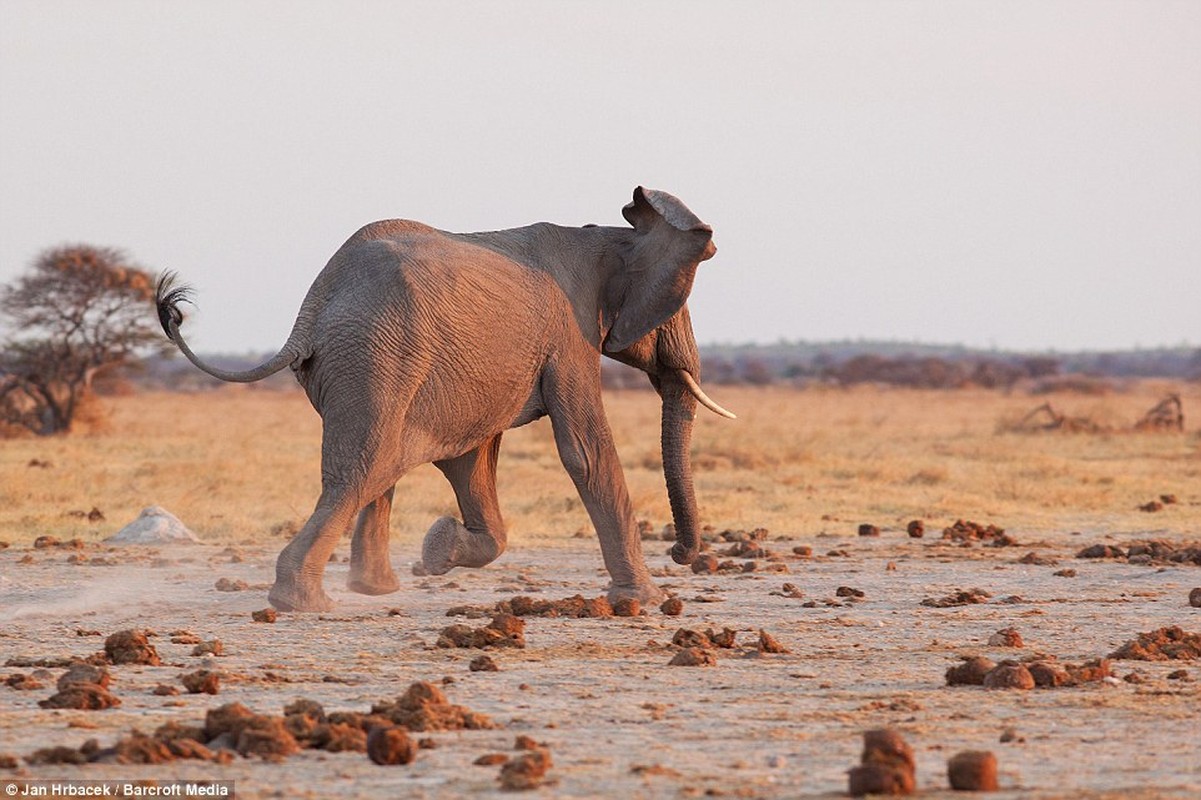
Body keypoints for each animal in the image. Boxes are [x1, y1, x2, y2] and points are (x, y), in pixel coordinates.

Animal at [153, 184, 725, 610]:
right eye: (676, 308)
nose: (680, 552)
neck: (613, 237)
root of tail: (312, 308)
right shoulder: (571, 336)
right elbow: (584, 452)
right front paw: (644, 600)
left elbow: (471, 459)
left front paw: (436, 553)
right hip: (378, 352)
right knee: (362, 468)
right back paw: (303, 602)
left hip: (365, 362)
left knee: (378, 466)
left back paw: (374, 590)